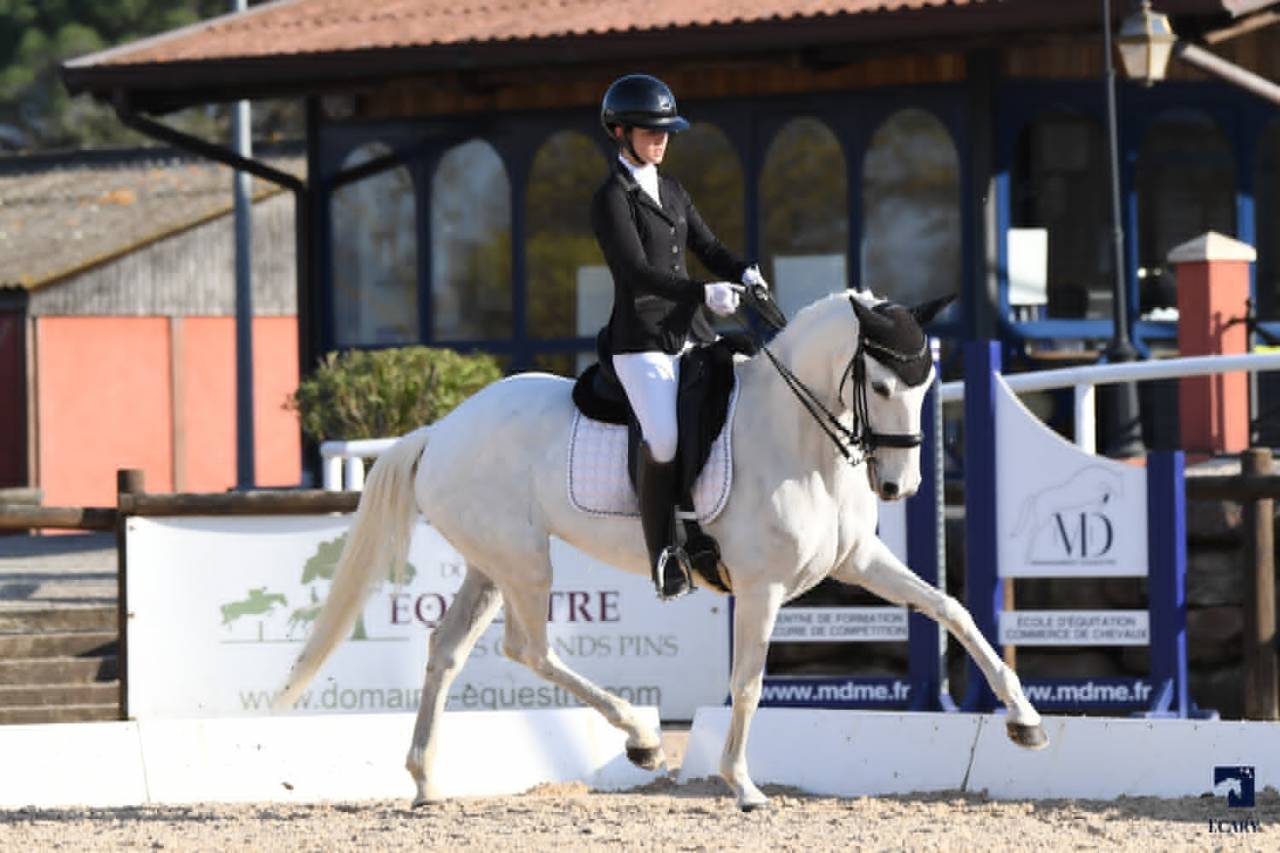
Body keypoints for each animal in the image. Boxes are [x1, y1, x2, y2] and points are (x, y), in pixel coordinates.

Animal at [273, 290, 1047, 811]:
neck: (798, 435)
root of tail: (440, 429)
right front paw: (742, 784)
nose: (899, 484)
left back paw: (427, 780)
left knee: (447, 648)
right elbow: (748, 681)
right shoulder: (760, 587)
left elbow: (953, 609)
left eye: (925, 384)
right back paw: (640, 734)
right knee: (528, 648)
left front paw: (1025, 720)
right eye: (881, 385)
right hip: (524, 561)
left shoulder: (858, 563)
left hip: (487, 564)